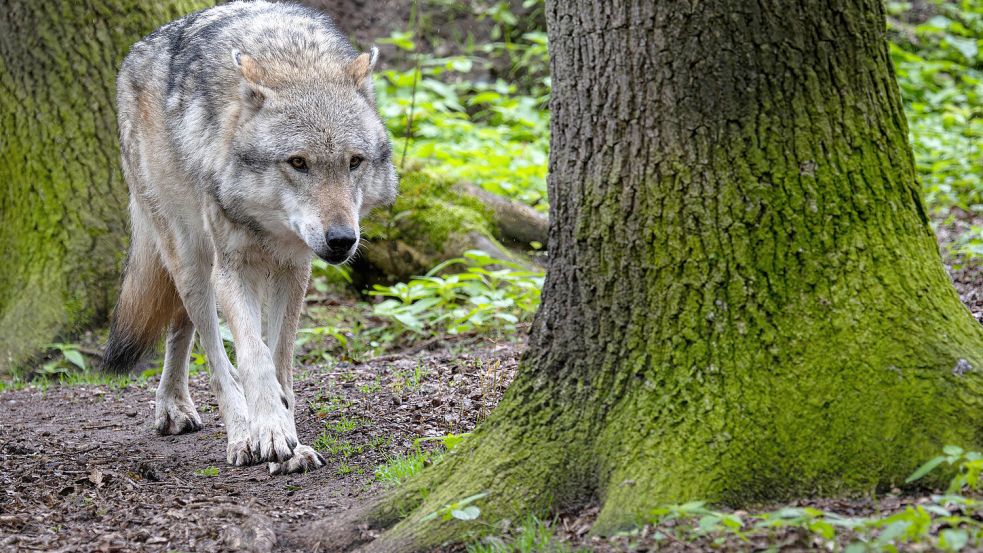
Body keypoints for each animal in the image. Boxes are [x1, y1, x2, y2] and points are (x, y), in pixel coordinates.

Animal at [105, 1, 398, 474]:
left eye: (354, 162)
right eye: (297, 162)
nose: (341, 239)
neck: (291, 58)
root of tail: (135, 52)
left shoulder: (293, 270)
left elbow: (279, 360)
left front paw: (290, 438)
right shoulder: (233, 270)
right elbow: (253, 358)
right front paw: (269, 432)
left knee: (182, 327)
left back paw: (176, 405)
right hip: (192, 261)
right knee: (213, 352)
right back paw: (237, 434)